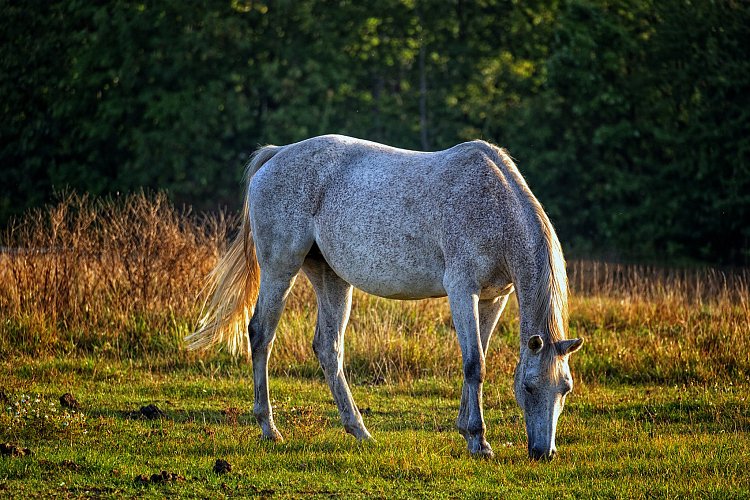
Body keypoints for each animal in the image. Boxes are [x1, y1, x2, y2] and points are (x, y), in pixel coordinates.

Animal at [187, 134, 580, 460]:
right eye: (528, 387)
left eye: (565, 389)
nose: (544, 453)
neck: (494, 208)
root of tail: (276, 154)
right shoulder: (461, 291)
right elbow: (474, 364)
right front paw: (479, 441)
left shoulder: (493, 298)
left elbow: (476, 357)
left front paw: (465, 429)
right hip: (279, 269)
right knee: (261, 335)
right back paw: (269, 428)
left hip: (330, 278)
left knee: (328, 348)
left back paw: (359, 430)